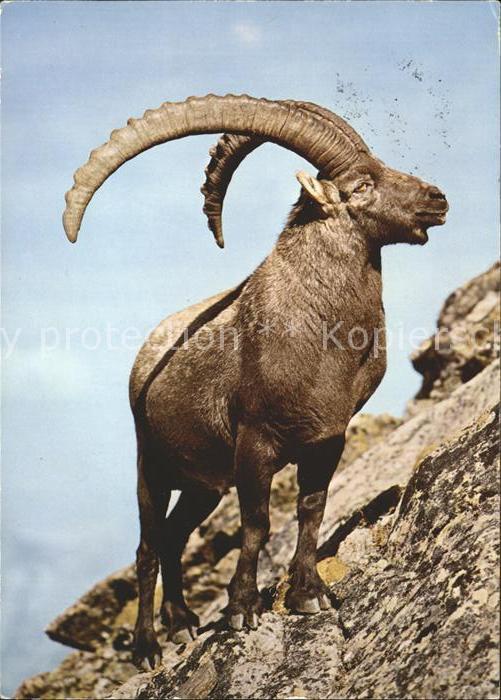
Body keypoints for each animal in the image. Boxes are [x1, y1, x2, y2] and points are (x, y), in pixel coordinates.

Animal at [63, 94, 448, 669]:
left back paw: (182, 622)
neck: (324, 336)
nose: (437, 199)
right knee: (148, 547)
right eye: (361, 185)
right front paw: (242, 610)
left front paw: (308, 594)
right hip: (151, 466)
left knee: (175, 537)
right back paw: (148, 646)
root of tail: (143, 357)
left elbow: (311, 509)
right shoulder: (255, 441)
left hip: (203, 483)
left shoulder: (327, 437)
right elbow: (257, 525)